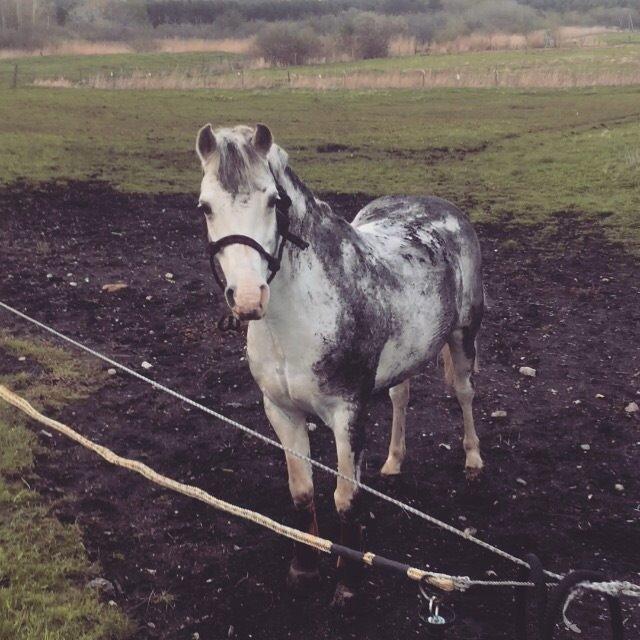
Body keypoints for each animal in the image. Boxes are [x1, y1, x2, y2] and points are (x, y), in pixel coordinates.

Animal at [195, 123, 484, 607]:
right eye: (205, 205)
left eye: (273, 201)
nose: (249, 297)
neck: (299, 315)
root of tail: (442, 208)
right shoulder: (282, 412)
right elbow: (302, 491)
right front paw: (305, 567)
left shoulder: (348, 414)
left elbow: (346, 497)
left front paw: (348, 582)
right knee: (401, 396)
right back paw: (393, 463)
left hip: (464, 336)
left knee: (463, 393)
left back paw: (474, 460)